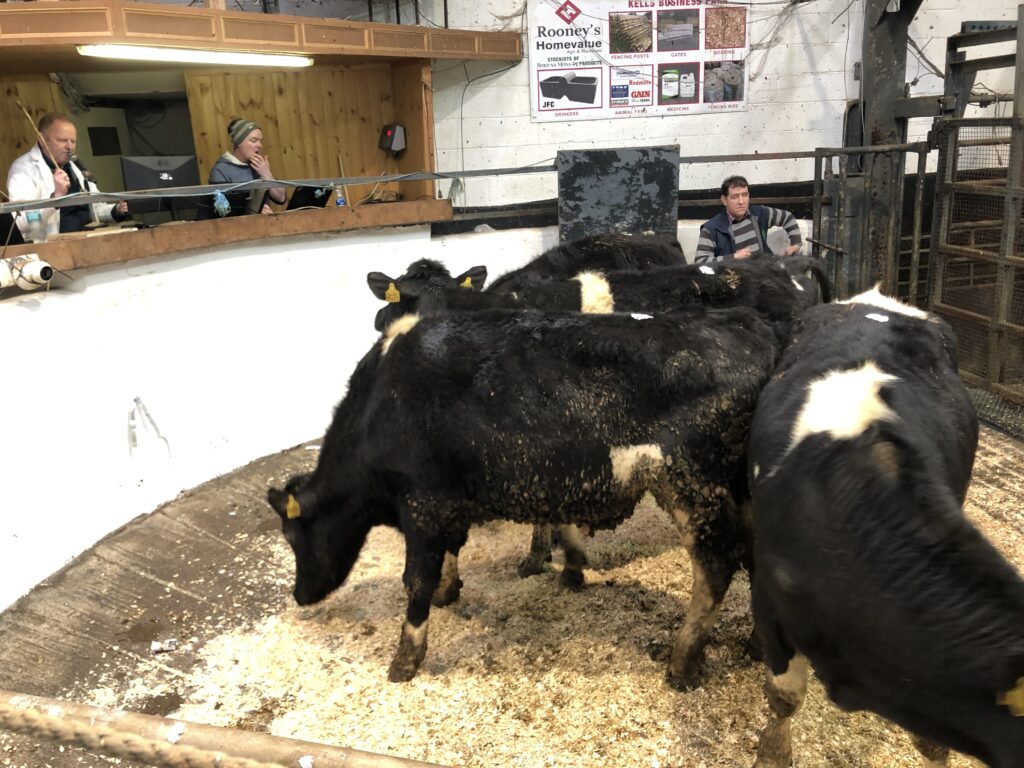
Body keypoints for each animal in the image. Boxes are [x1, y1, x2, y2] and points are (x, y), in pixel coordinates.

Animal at [268, 304, 781, 686]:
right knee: (758, 557)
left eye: (293, 537)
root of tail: (748, 325)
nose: (299, 594)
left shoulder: (422, 503)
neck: (384, 402)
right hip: (739, 491)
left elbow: (414, 580)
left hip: (691, 483)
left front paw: (405, 660)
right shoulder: (451, 502)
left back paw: (682, 663)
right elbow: (453, 552)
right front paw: (452, 590)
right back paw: (758, 646)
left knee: (716, 564)